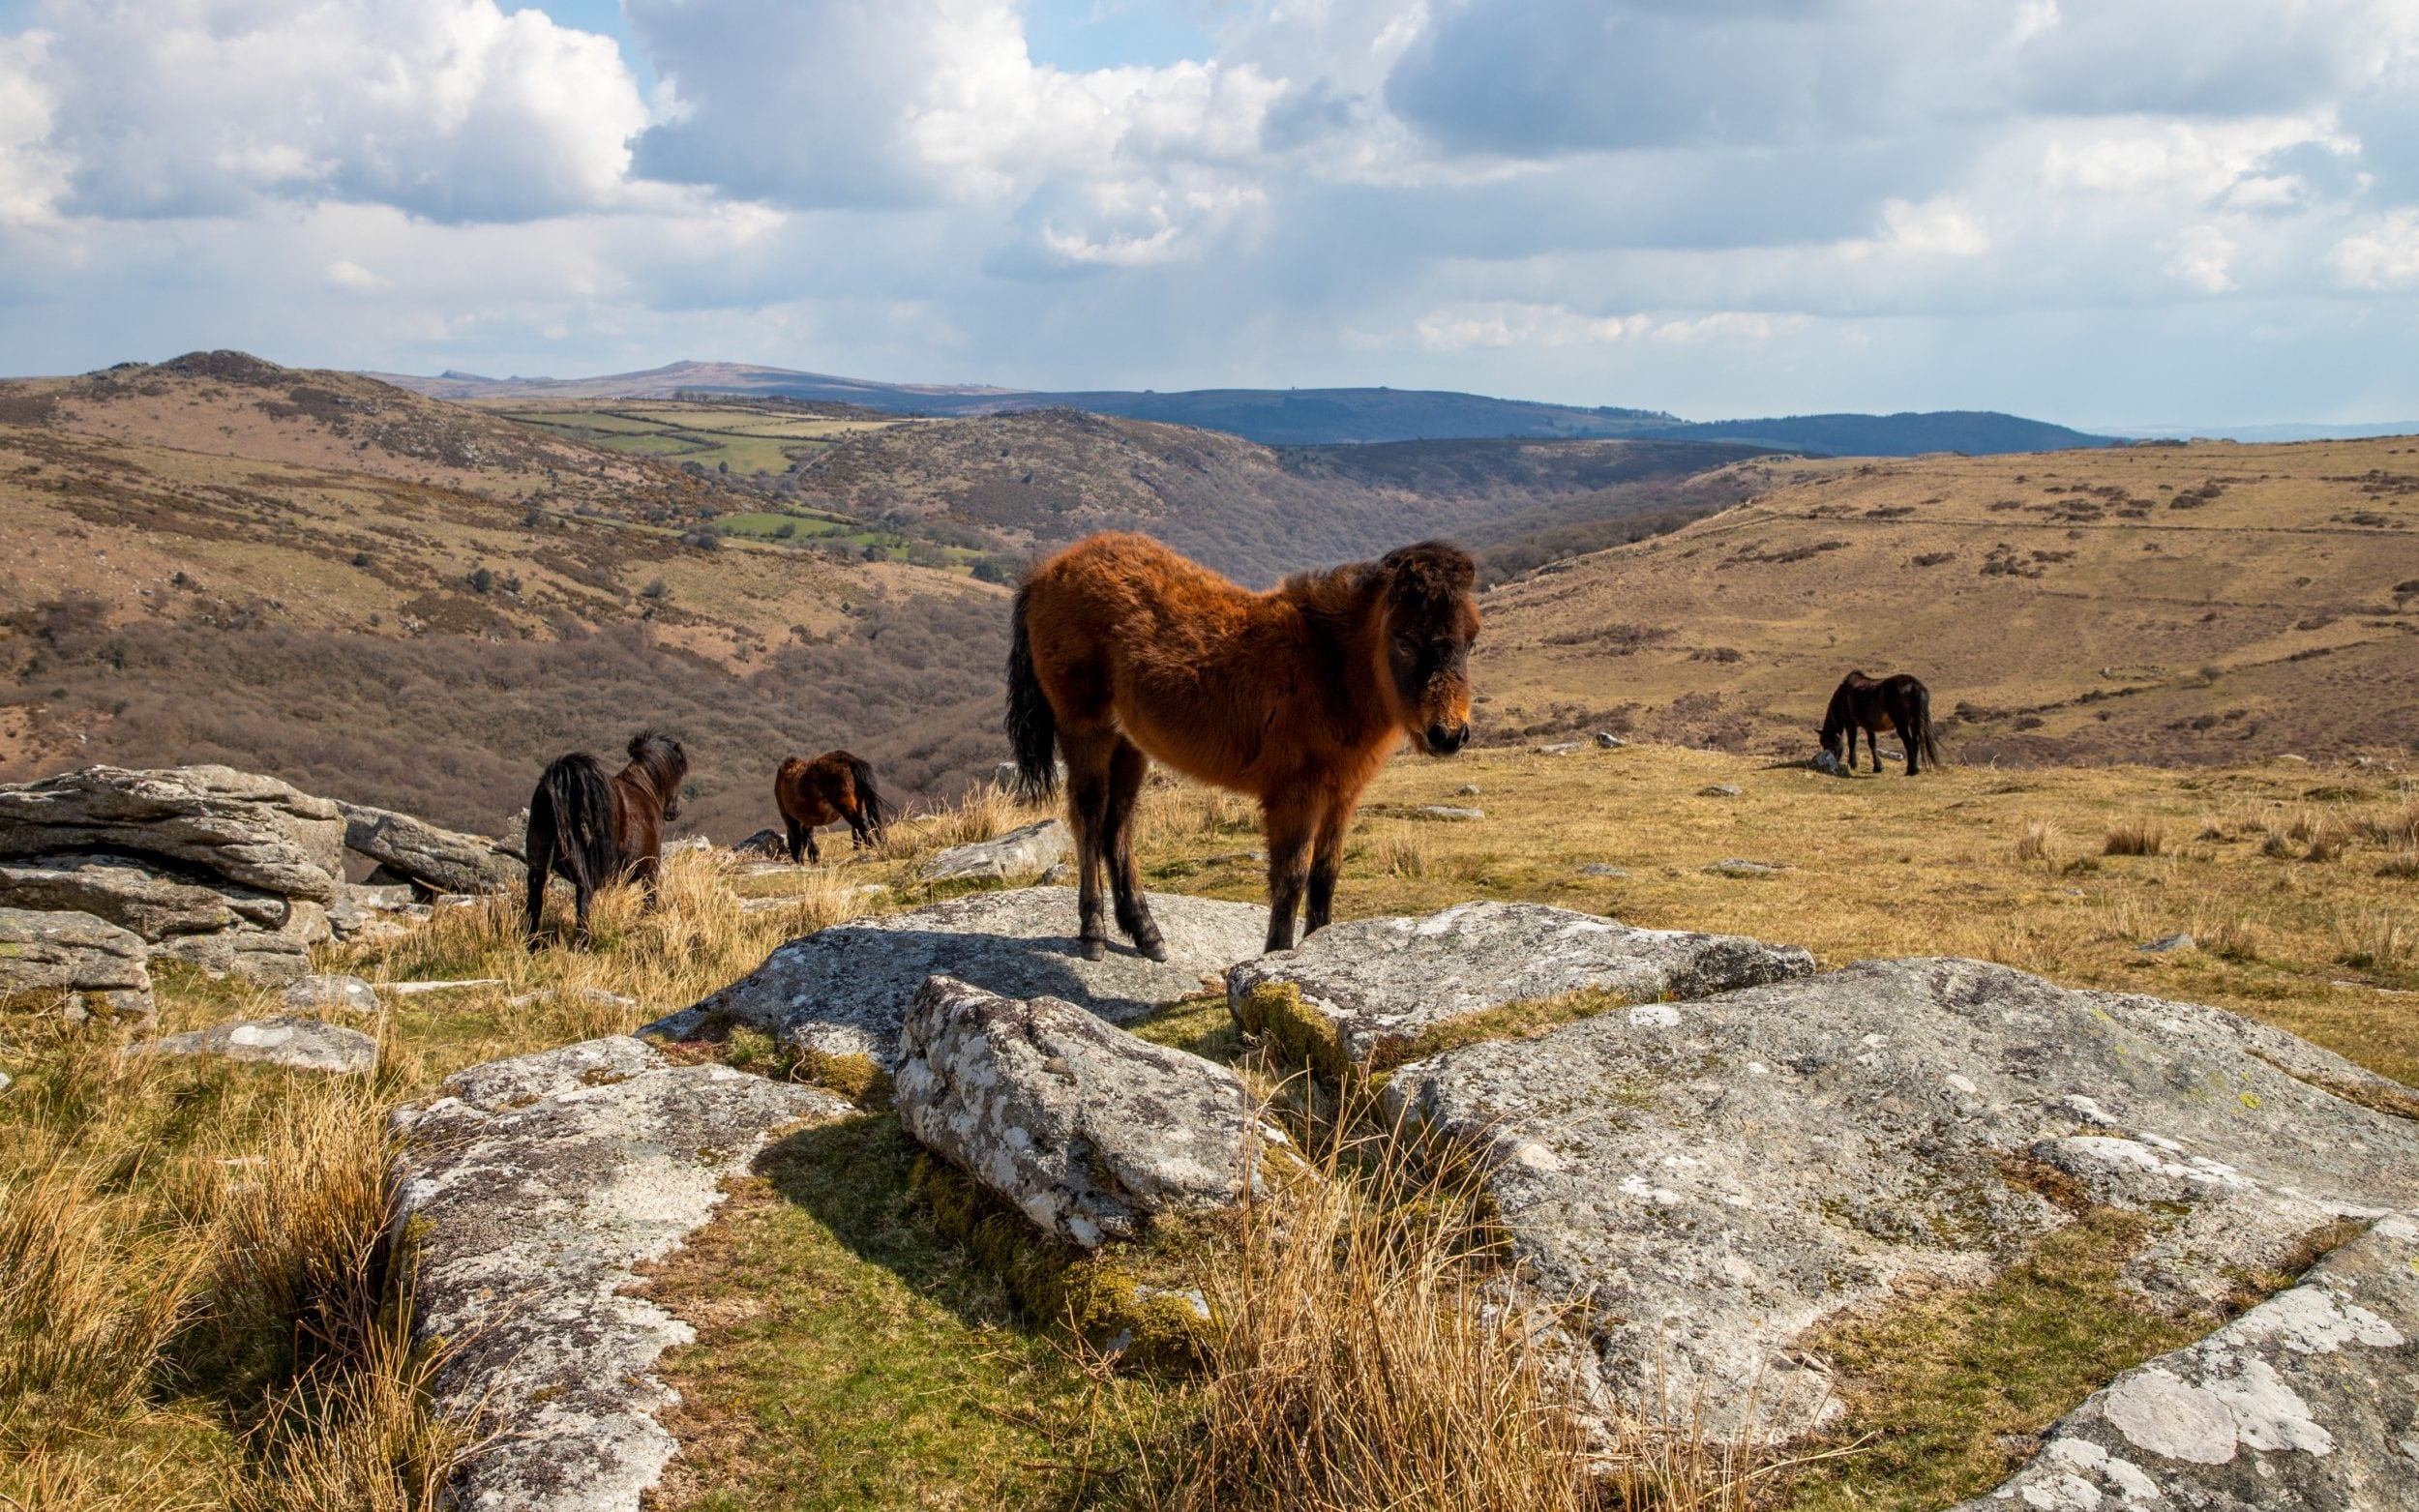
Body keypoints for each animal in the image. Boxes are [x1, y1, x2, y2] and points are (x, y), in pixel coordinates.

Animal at [522, 730, 689, 948]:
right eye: (679, 773)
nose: (675, 811)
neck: (644, 787)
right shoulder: (652, 864)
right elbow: (650, 894)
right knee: (583, 897)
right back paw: (584, 942)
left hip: (538, 863)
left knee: (535, 899)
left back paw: (532, 943)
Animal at [1008, 531, 1479, 961]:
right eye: (1404, 641)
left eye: (1471, 641)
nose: (1448, 734)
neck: (1329, 669)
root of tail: (1047, 570)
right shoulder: (1296, 794)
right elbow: (1292, 878)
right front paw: (1277, 956)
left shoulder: (1342, 794)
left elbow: (1325, 876)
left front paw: (1315, 951)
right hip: (1085, 728)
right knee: (1089, 819)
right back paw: (1093, 934)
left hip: (1129, 743)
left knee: (1117, 824)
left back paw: (1147, 934)